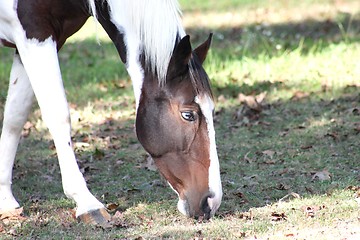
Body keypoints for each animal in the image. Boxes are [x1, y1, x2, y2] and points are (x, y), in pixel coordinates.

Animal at [0, 0, 222, 225]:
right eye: (188, 115)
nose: (211, 202)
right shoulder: (35, 35)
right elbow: (58, 115)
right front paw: (87, 202)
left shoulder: (37, 41)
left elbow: (15, 116)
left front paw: (5, 200)